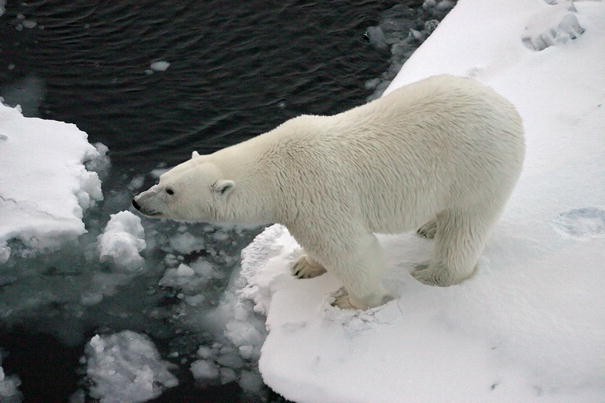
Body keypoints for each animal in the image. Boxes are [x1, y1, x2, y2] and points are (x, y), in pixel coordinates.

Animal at [132, 75, 524, 310]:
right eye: (162, 178)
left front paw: (352, 301)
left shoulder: (316, 193)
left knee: (466, 226)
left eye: (169, 190)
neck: (275, 168)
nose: (136, 200)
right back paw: (429, 226)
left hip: (477, 168)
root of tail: (510, 109)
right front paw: (304, 266)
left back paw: (433, 274)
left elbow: (351, 251)